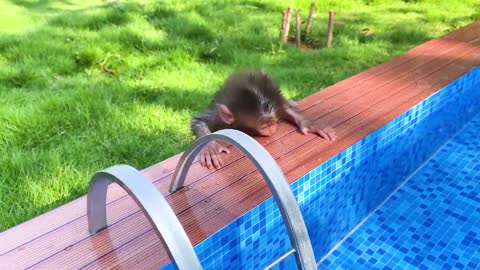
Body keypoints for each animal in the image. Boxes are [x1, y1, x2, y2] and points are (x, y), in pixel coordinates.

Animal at [192, 70, 338, 170]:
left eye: (273, 122)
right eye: (264, 125)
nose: (272, 127)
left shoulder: (276, 102)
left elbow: (286, 109)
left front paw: (311, 124)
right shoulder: (217, 114)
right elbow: (198, 121)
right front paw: (210, 147)